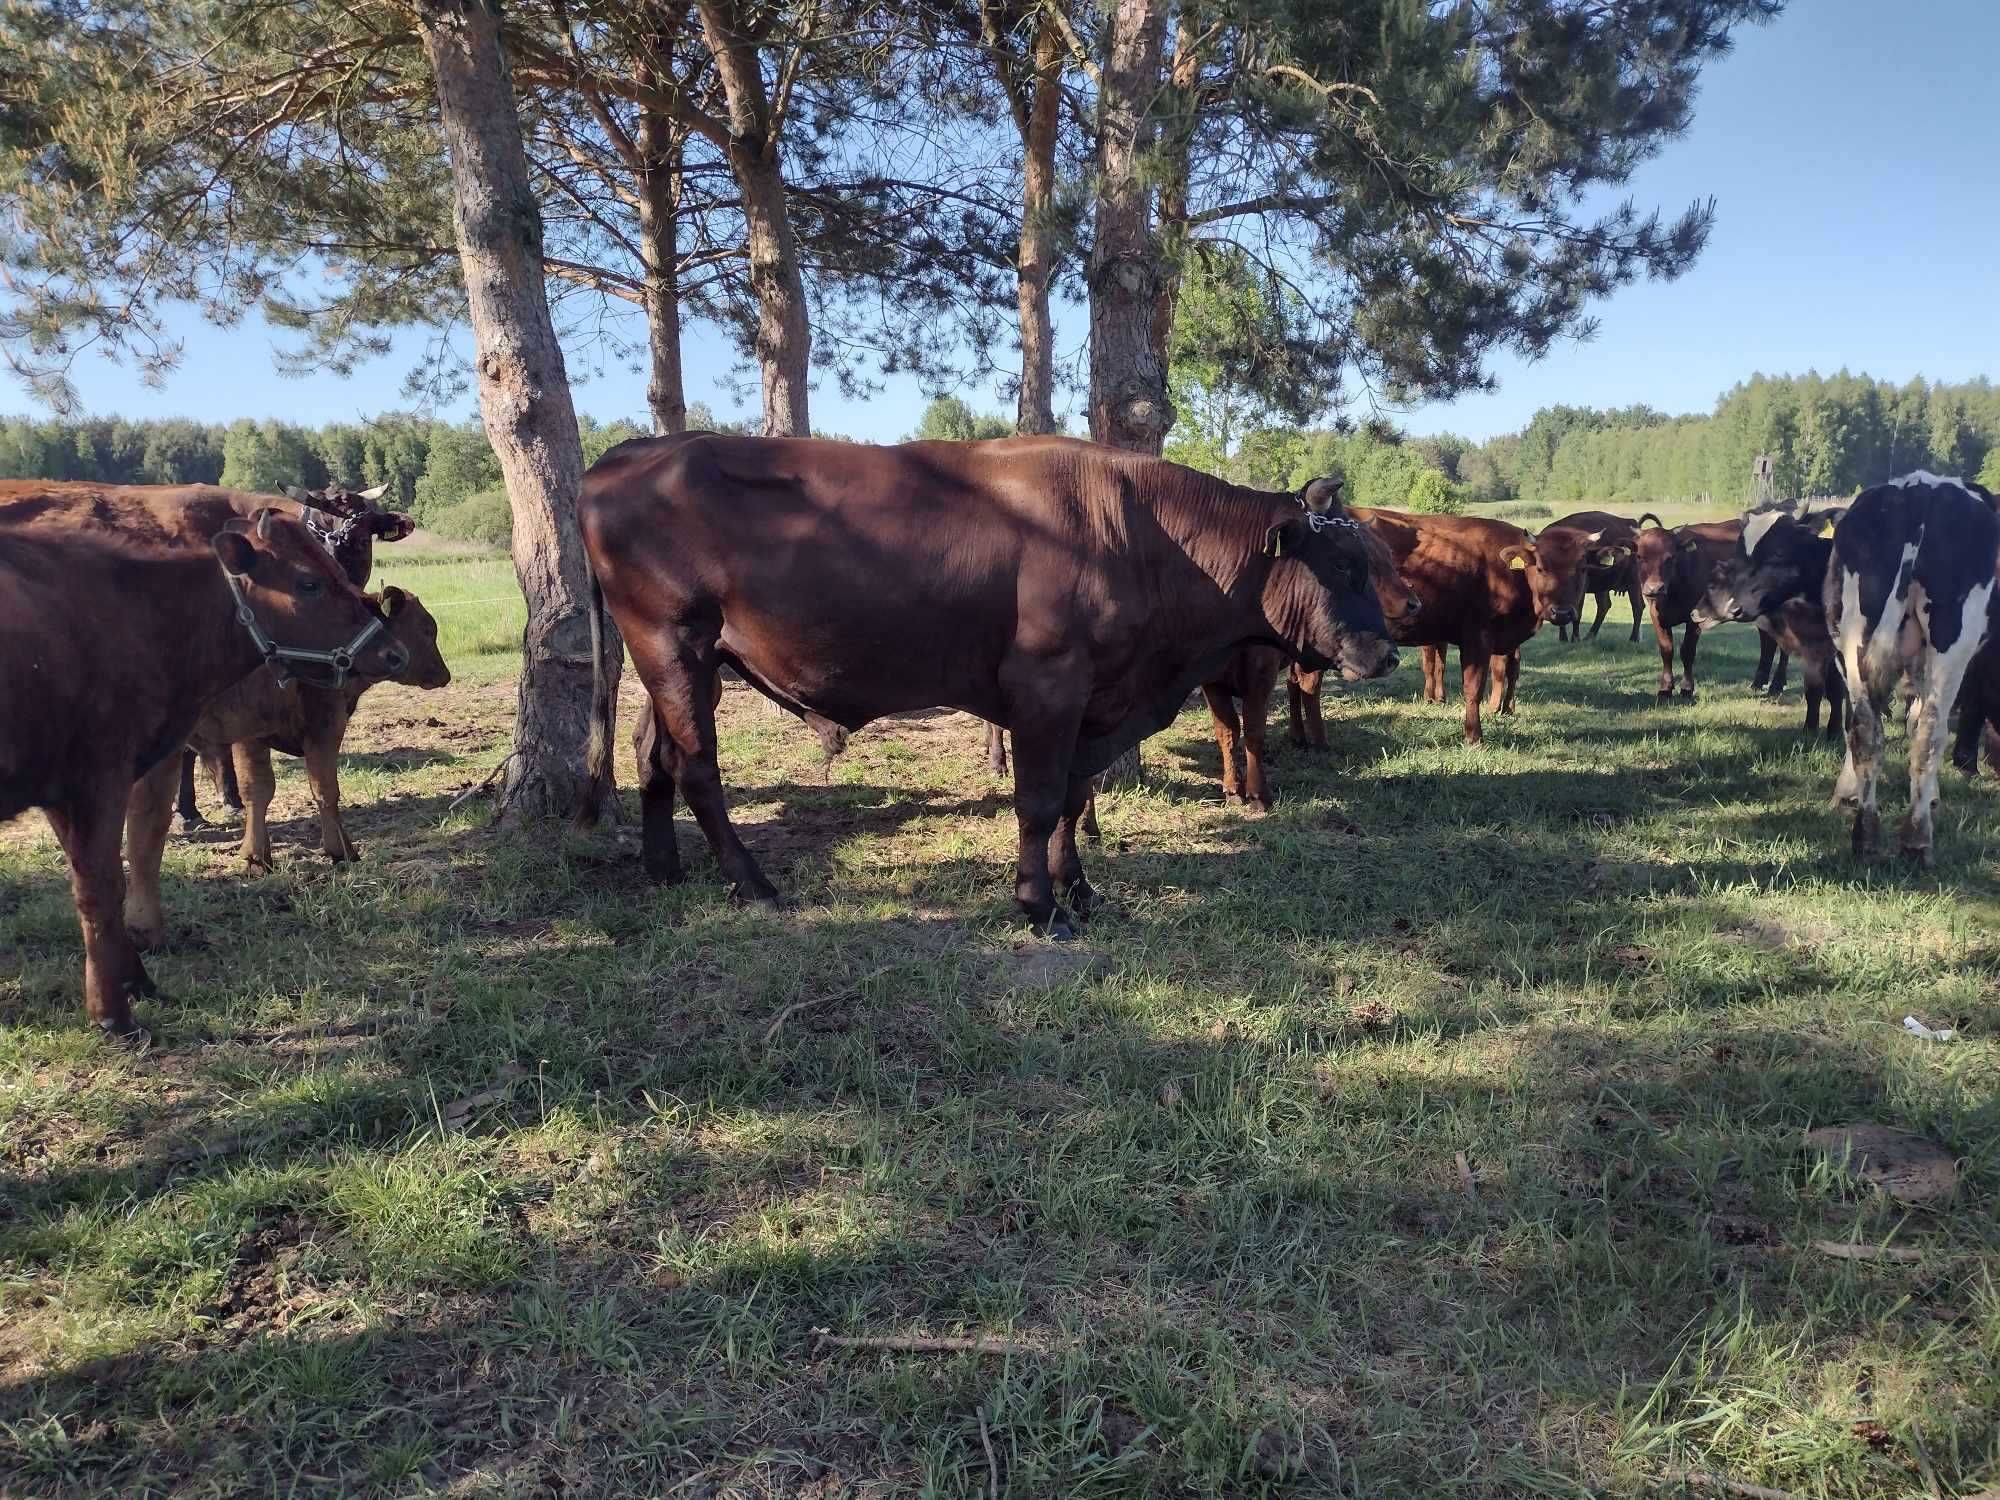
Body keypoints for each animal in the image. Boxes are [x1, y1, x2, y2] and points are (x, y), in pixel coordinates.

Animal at [0, 512, 408, 1040]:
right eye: (309, 582)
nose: (393, 651)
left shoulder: (62, 792)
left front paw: (134, 979)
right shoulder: (100, 778)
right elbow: (102, 887)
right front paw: (113, 1012)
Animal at [147, 584, 450, 868]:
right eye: (427, 629)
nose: (444, 674)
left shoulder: (258, 734)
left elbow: (259, 789)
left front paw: (256, 857)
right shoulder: (319, 725)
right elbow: (319, 788)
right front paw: (341, 850)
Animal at [572, 428, 1400, 940]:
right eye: (1344, 566)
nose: (1386, 653)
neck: (1143, 538)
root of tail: (632, 453)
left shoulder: (1096, 702)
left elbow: (1072, 798)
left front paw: (1081, 890)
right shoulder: (1048, 688)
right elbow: (1038, 801)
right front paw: (1040, 905)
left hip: (693, 662)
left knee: (653, 754)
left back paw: (665, 869)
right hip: (672, 642)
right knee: (698, 768)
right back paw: (754, 886)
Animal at [1344, 512, 1592, 748]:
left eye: (1582, 569)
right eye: (1540, 567)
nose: (1561, 612)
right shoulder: (1478, 637)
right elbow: (1474, 687)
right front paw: (1474, 737)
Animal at [1832, 470, 2000, 868]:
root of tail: (1919, 490)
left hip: (1853, 636)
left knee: (1865, 729)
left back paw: (1866, 837)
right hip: (1952, 646)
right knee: (1931, 733)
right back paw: (1917, 839)